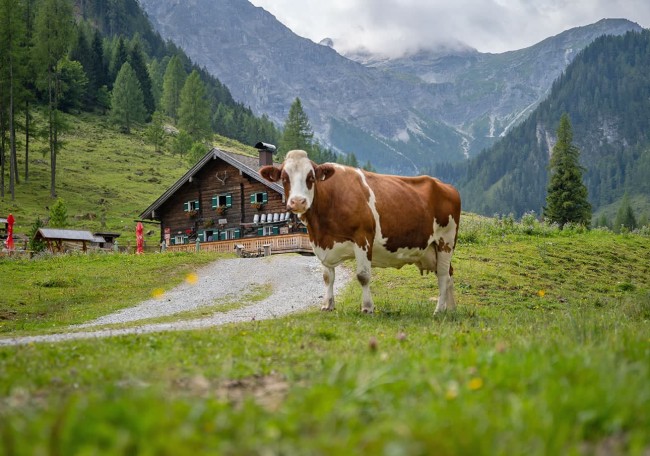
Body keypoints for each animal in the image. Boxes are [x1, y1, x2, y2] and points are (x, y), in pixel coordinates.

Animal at [260, 150, 461, 314]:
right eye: (285, 178)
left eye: (311, 178)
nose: (298, 202)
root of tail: (447, 186)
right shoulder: (322, 243)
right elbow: (327, 277)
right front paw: (327, 305)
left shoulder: (363, 238)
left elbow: (363, 276)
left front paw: (367, 307)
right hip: (432, 249)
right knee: (449, 274)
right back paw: (450, 310)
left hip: (446, 240)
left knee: (443, 275)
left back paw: (438, 311)